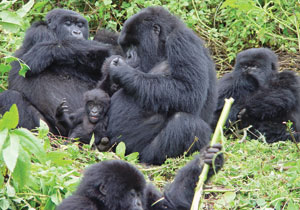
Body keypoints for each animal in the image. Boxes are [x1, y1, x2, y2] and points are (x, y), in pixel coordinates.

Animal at [57, 144, 224, 210]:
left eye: (138, 194)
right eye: (131, 194)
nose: (138, 204)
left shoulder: (148, 193)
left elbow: (172, 205)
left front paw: (205, 160)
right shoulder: (80, 205)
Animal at [102, 6, 216, 164]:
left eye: (134, 44)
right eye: (126, 46)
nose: (129, 56)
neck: (163, 43)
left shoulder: (181, 40)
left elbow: (189, 91)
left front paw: (122, 70)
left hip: (137, 153)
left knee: (186, 123)